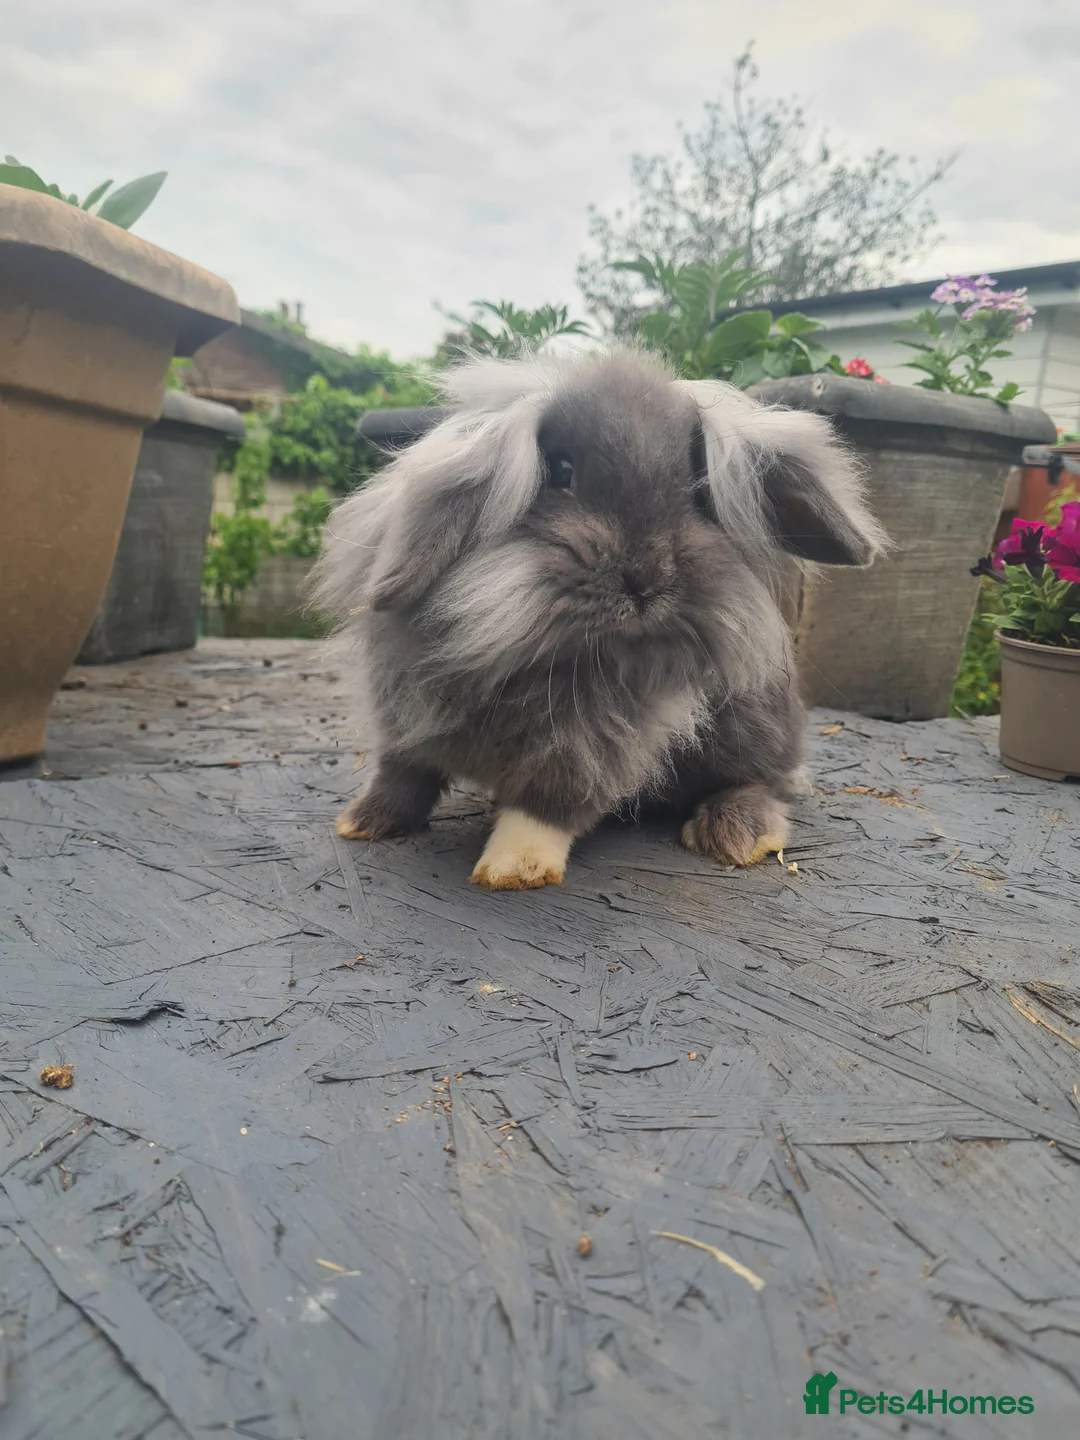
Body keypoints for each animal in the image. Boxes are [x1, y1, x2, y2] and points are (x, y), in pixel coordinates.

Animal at [313, 348, 885, 891]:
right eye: (561, 471)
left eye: (700, 492)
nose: (645, 580)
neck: (525, 657)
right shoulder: (403, 717)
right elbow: (401, 772)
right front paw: (361, 822)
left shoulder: (589, 747)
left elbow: (547, 806)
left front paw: (512, 869)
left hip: (754, 729)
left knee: (764, 780)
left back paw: (737, 835)